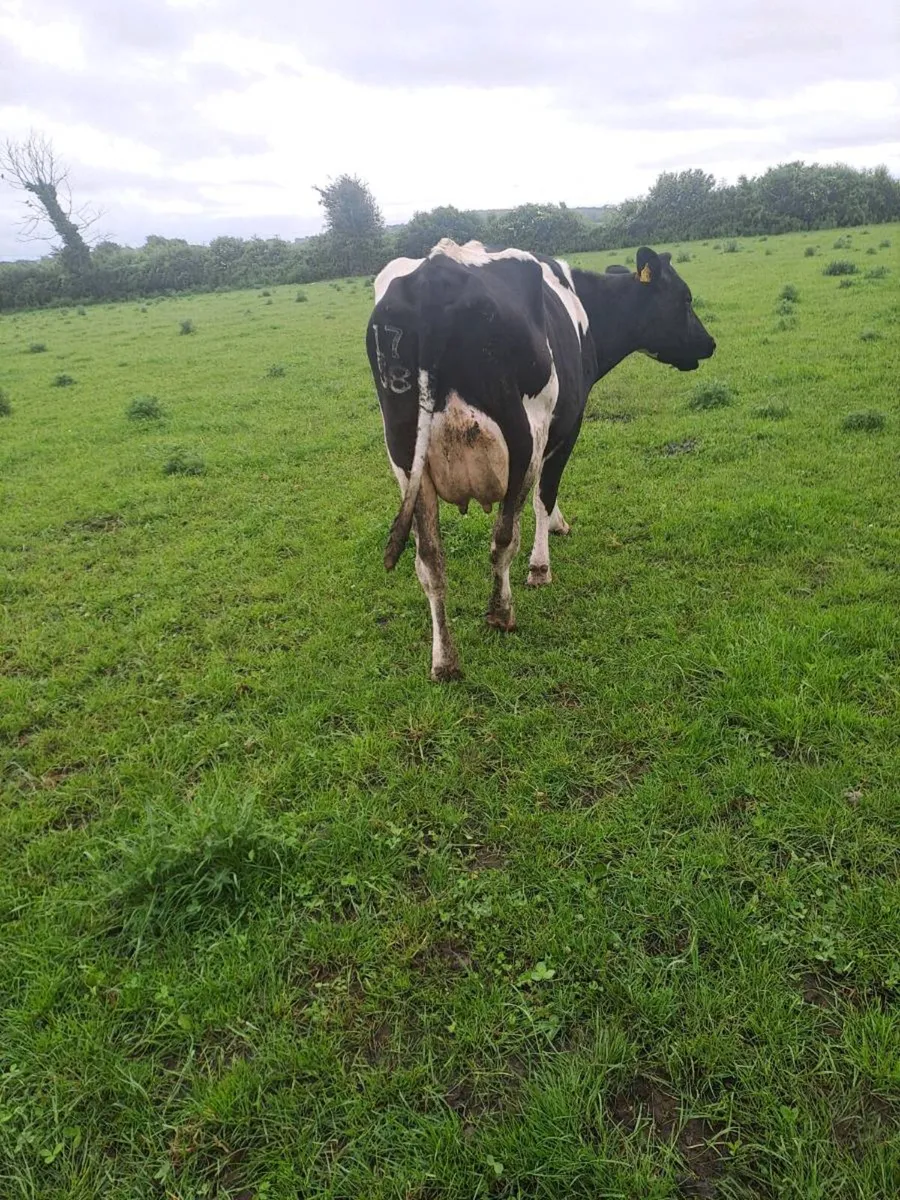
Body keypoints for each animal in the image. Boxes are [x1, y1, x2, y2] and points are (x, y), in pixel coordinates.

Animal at [366, 238, 715, 680]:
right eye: (685, 298)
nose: (709, 343)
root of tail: (437, 275)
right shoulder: (567, 424)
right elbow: (544, 495)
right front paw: (541, 565)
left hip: (406, 456)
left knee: (429, 561)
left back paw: (444, 660)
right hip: (520, 440)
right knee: (503, 538)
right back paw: (501, 612)